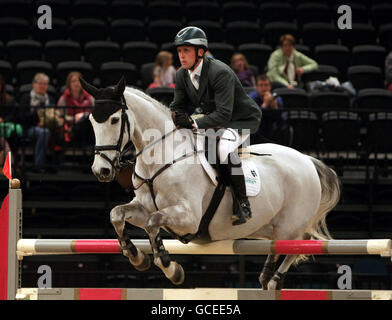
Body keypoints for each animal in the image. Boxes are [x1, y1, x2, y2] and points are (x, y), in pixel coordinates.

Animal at [80, 77, 340, 290]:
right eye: (92, 120)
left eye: (114, 120)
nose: (101, 170)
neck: (161, 158)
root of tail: (307, 160)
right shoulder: (143, 209)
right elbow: (117, 214)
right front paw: (136, 256)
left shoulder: (189, 217)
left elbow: (154, 223)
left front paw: (170, 268)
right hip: (267, 227)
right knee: (282, 246)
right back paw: (267, 277)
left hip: (290, 225)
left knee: (297, 245)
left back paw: (273, 280)